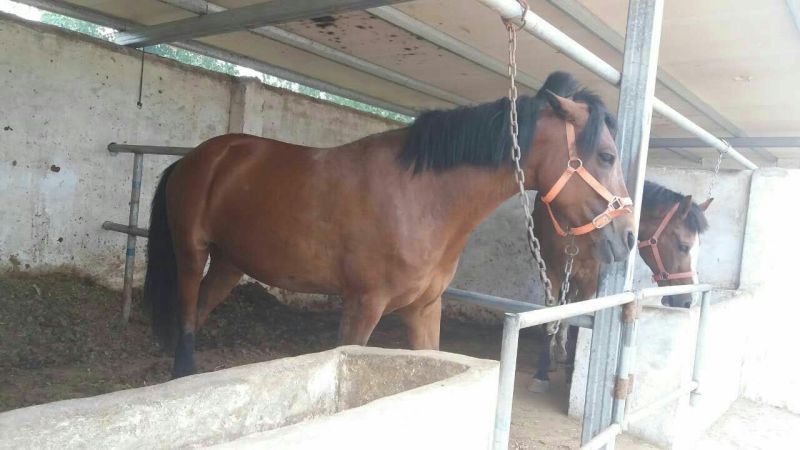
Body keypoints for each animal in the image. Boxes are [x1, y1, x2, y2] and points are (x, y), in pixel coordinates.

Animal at [143, 71, 636, 378]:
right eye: (606, 156)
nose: (628, 236)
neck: (422, 198)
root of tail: (196, 157)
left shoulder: (425, 309)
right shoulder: (364, 304)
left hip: (230, 263)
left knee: (200, 309)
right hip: (192, 252)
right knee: (186, 308)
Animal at [529, 180, 712, 393]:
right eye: (684, 246)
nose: (687, 300)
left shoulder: (590, 280)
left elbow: (577, 319)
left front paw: (569, 373)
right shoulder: (551, 271)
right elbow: (549, 318)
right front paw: (541, 374)